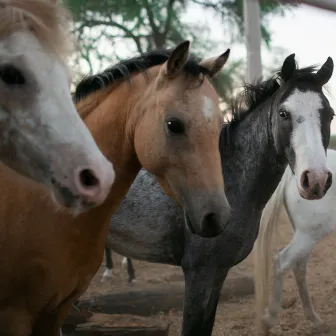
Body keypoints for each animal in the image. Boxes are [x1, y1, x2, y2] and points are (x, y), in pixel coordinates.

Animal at [253, 149, 336, 334]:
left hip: (306, 236)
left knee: (299, 267)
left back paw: (316, 321)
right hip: (308, 235)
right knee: (282, 262)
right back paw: (269, 320)